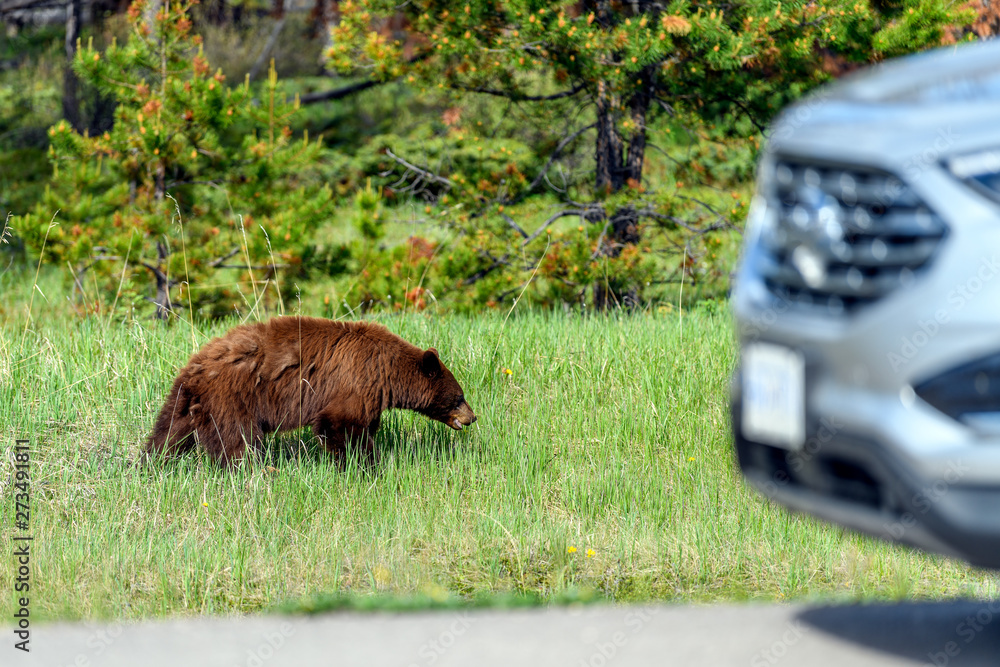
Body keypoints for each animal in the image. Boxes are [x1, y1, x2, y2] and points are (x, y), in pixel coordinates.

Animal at [144, 316, 476, 465]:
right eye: (459, 397)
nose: (472, 417)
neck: (388, 372)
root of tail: (198, 364)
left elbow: (364, 424)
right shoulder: (355, 381)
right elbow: (339, 423)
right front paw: (364, 465)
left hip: (187, 399)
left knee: (169, 431)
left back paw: (151, 462)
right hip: (232, 395)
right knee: (238, 440)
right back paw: (254, 471)